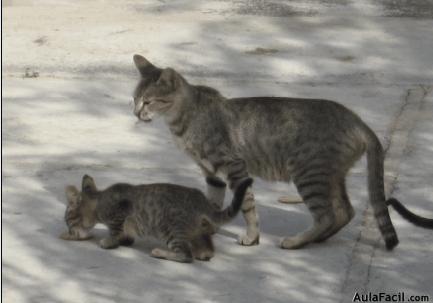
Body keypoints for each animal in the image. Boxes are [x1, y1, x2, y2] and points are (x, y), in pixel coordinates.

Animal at [59, 176, 251, 264]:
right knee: (206, 248)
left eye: (69, 222)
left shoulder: (120, 212)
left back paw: (160, 252)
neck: (99, 199)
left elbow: (115, 231)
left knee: (186, 255)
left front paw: (109, 241)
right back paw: (203, 252)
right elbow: (125, 235)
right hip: (193, 230)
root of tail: (200, 197)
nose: (69, 231)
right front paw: (124, 240)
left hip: (169, 229)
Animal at [132, 54, 432, 252]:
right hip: (330, 176)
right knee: (345, 211)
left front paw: (251, 237)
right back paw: (316, 238)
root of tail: (356, 119)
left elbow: (248, 206)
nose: (135, 112)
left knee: (327, 214)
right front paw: (211, 224)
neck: (185, 119)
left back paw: (297, 241)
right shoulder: (211, 173)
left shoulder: (234, 167)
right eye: (134, 98)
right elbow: (213, 204)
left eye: (148, 101)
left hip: (308, 173)